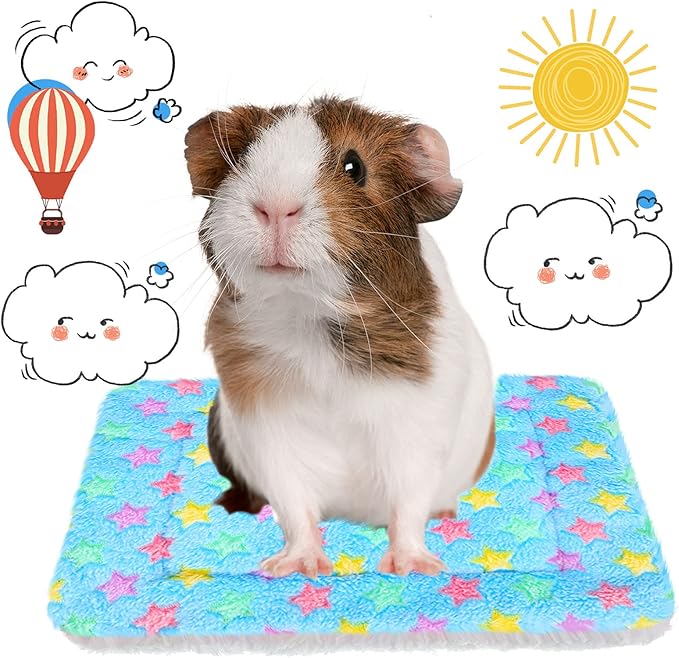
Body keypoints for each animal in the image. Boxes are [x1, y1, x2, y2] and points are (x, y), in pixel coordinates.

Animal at [184, 97, 495, 577]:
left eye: (355, 166)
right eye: (239, 158)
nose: (275, 208)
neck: (308, 317)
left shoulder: (417, 431)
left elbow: (409, 505)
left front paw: (413, 567)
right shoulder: (269, 434)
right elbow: (295, 508)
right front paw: (300, 567)